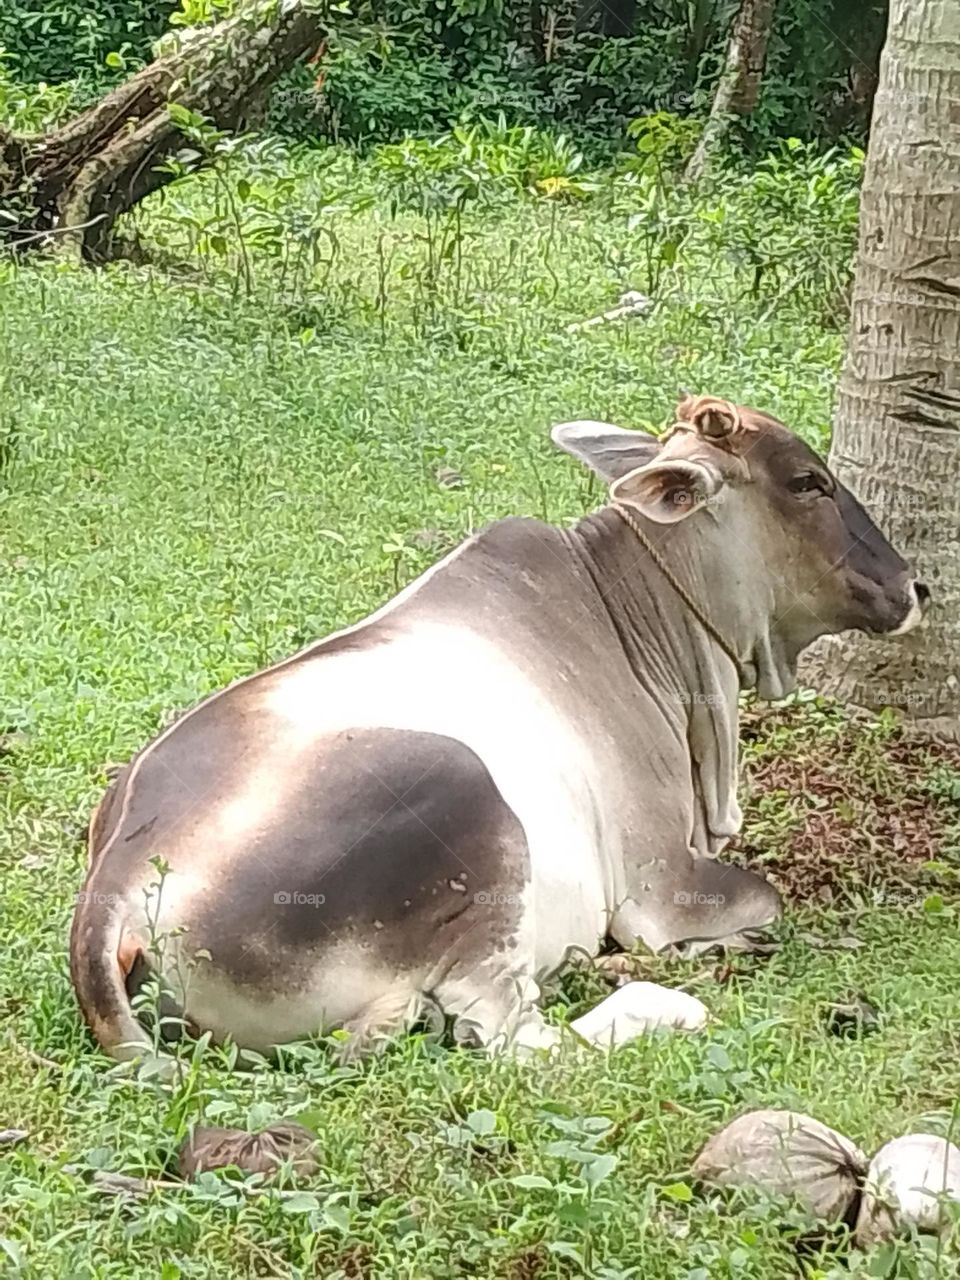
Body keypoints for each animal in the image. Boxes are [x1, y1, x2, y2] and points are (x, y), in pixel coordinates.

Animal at [70, 394, 929, 1063]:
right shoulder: (661, 887)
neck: (634, 615)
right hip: (474, 823)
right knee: (513, 1039)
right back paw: (656, 1002)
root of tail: (116, 887)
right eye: (807, 481)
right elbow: (759, 901)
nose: (913, 585)